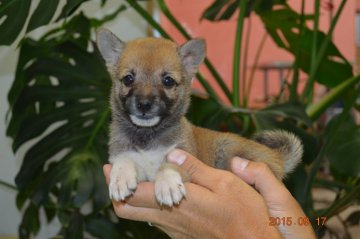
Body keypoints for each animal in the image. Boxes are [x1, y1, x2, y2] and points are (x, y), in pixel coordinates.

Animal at [96, 27, 304, 207]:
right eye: (128, 79)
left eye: (168, 81)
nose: (144, 104)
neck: (148, 137)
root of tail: (277, 158)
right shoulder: (123, 155)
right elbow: (124, 160)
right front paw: (120, 178)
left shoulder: (183, 155)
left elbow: (169, 166)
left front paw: (168, 183)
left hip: (228, 148)